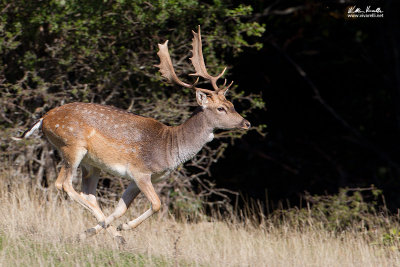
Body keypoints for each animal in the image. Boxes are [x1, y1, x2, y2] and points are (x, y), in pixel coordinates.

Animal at [18, 26, 252, 244]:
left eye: (232, 104)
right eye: (221, 108)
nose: (246, 123)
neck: (169, 147)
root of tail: (44, 119)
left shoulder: (136, 178)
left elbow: (121, 208)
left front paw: (111, 229)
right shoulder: (141, 171)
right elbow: (157, 204)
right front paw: (123, 227)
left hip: (91, 164)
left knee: (88, 194)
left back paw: (102, 233)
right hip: (71, 146)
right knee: (63, 184)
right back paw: (105, 227)